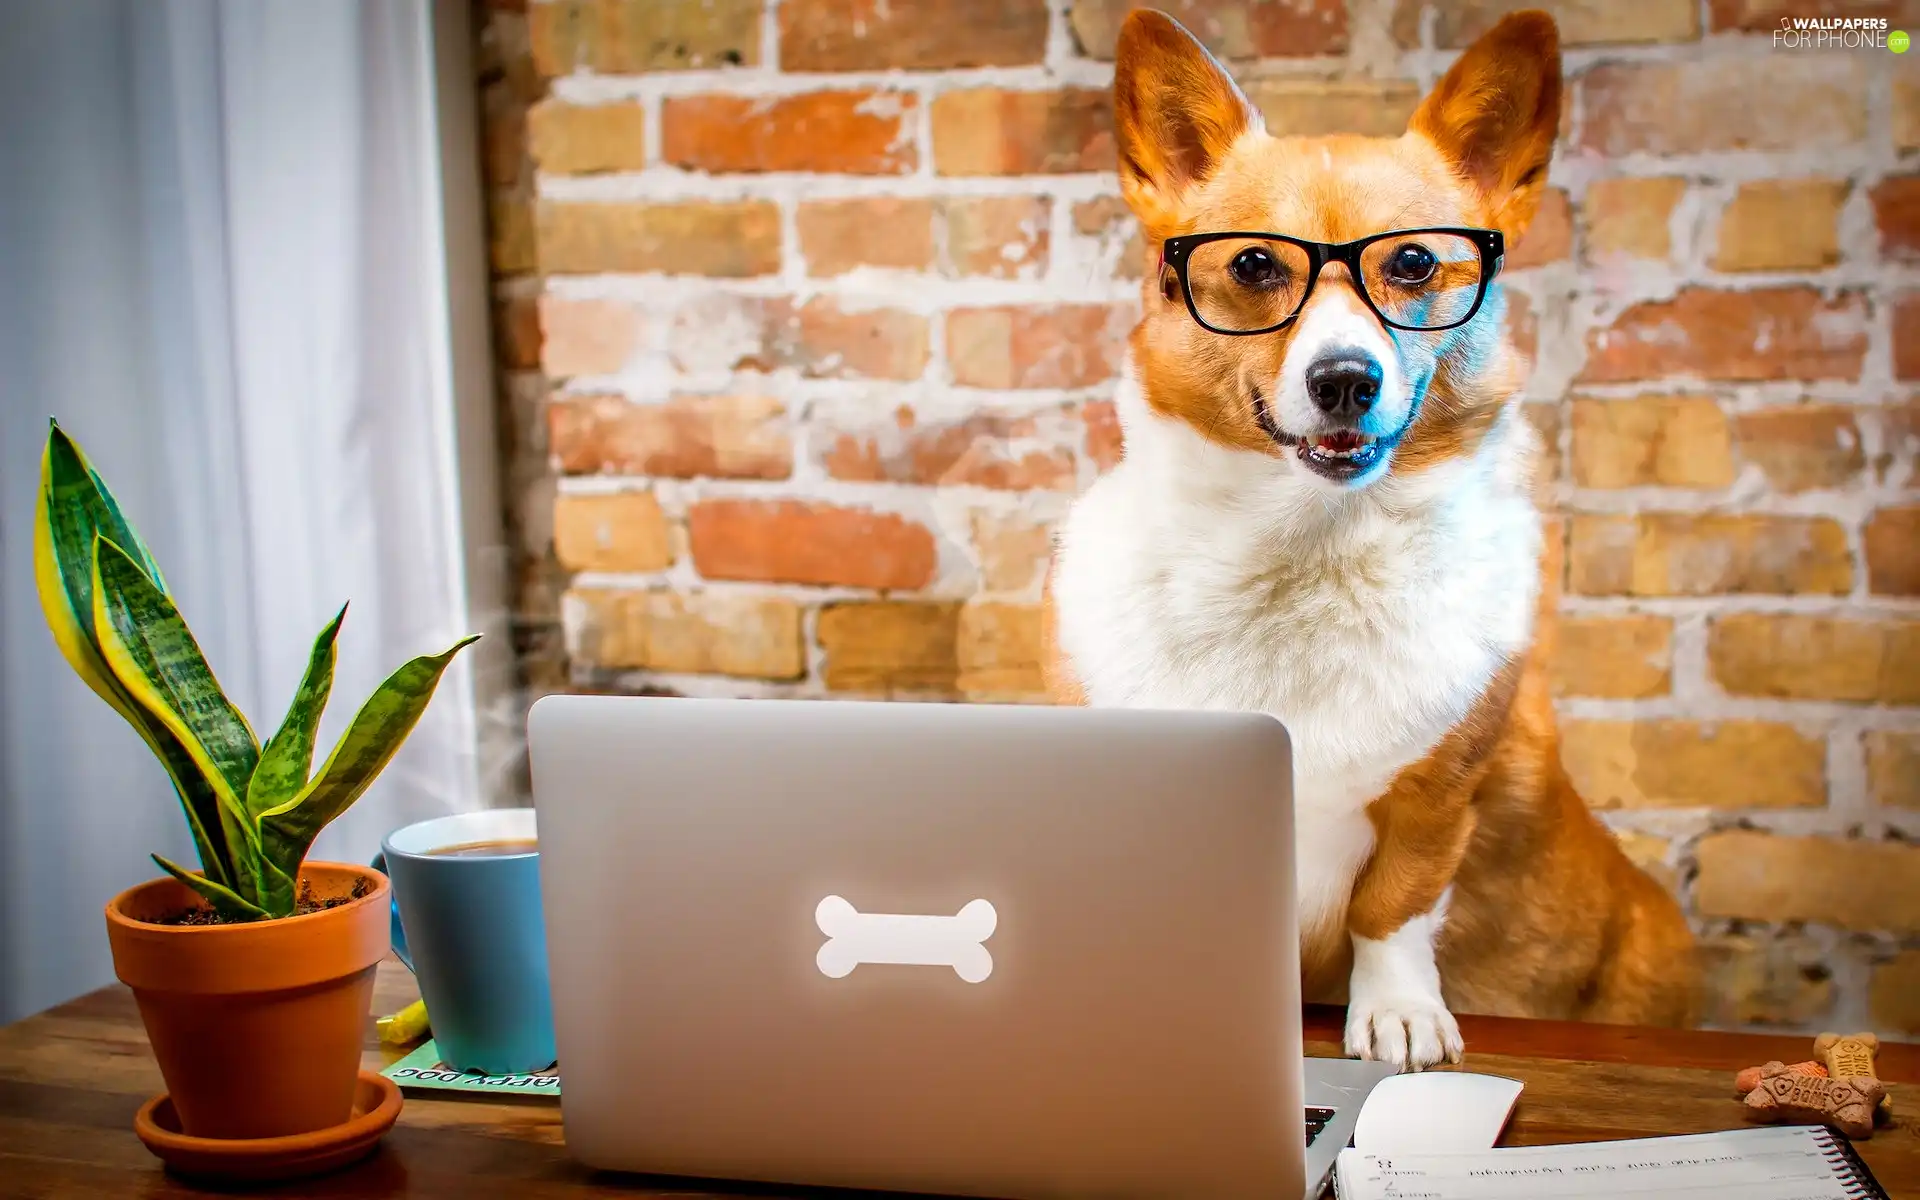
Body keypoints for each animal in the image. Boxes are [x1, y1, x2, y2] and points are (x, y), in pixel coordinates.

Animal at [1044, 9, 1704, 1067]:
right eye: (1254, 265)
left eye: (1414, 264)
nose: (1346, 381)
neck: (1303, 549)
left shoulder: (1437, 800)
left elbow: (1393, 910)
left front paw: (1398, 1020)